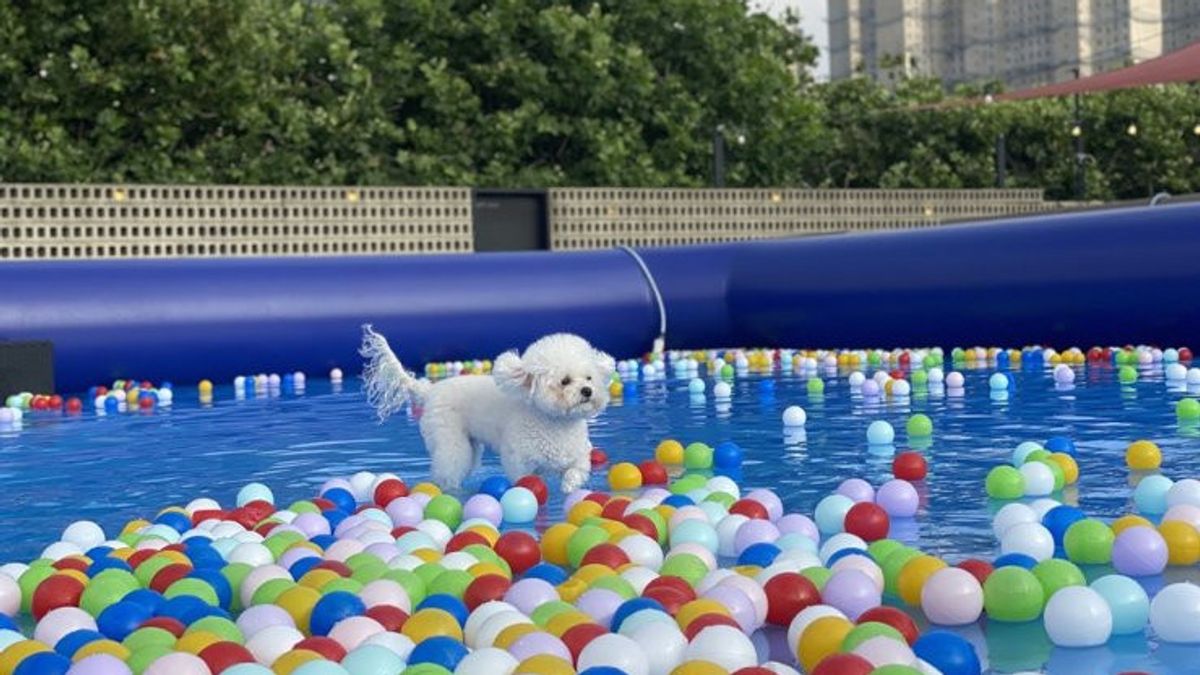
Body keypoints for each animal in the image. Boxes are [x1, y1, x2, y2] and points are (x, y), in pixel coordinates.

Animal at [360, 324, 614, 492]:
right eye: (565, 381)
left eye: (589, 378)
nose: (587, 391)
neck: (555, 421)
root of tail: (430, 391)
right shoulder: (519, 462)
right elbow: (525, 479)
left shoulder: (578, 458)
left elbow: (574, 473)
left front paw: (568, 488)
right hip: (450, 441)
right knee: (448, 469)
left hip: (469, 447)